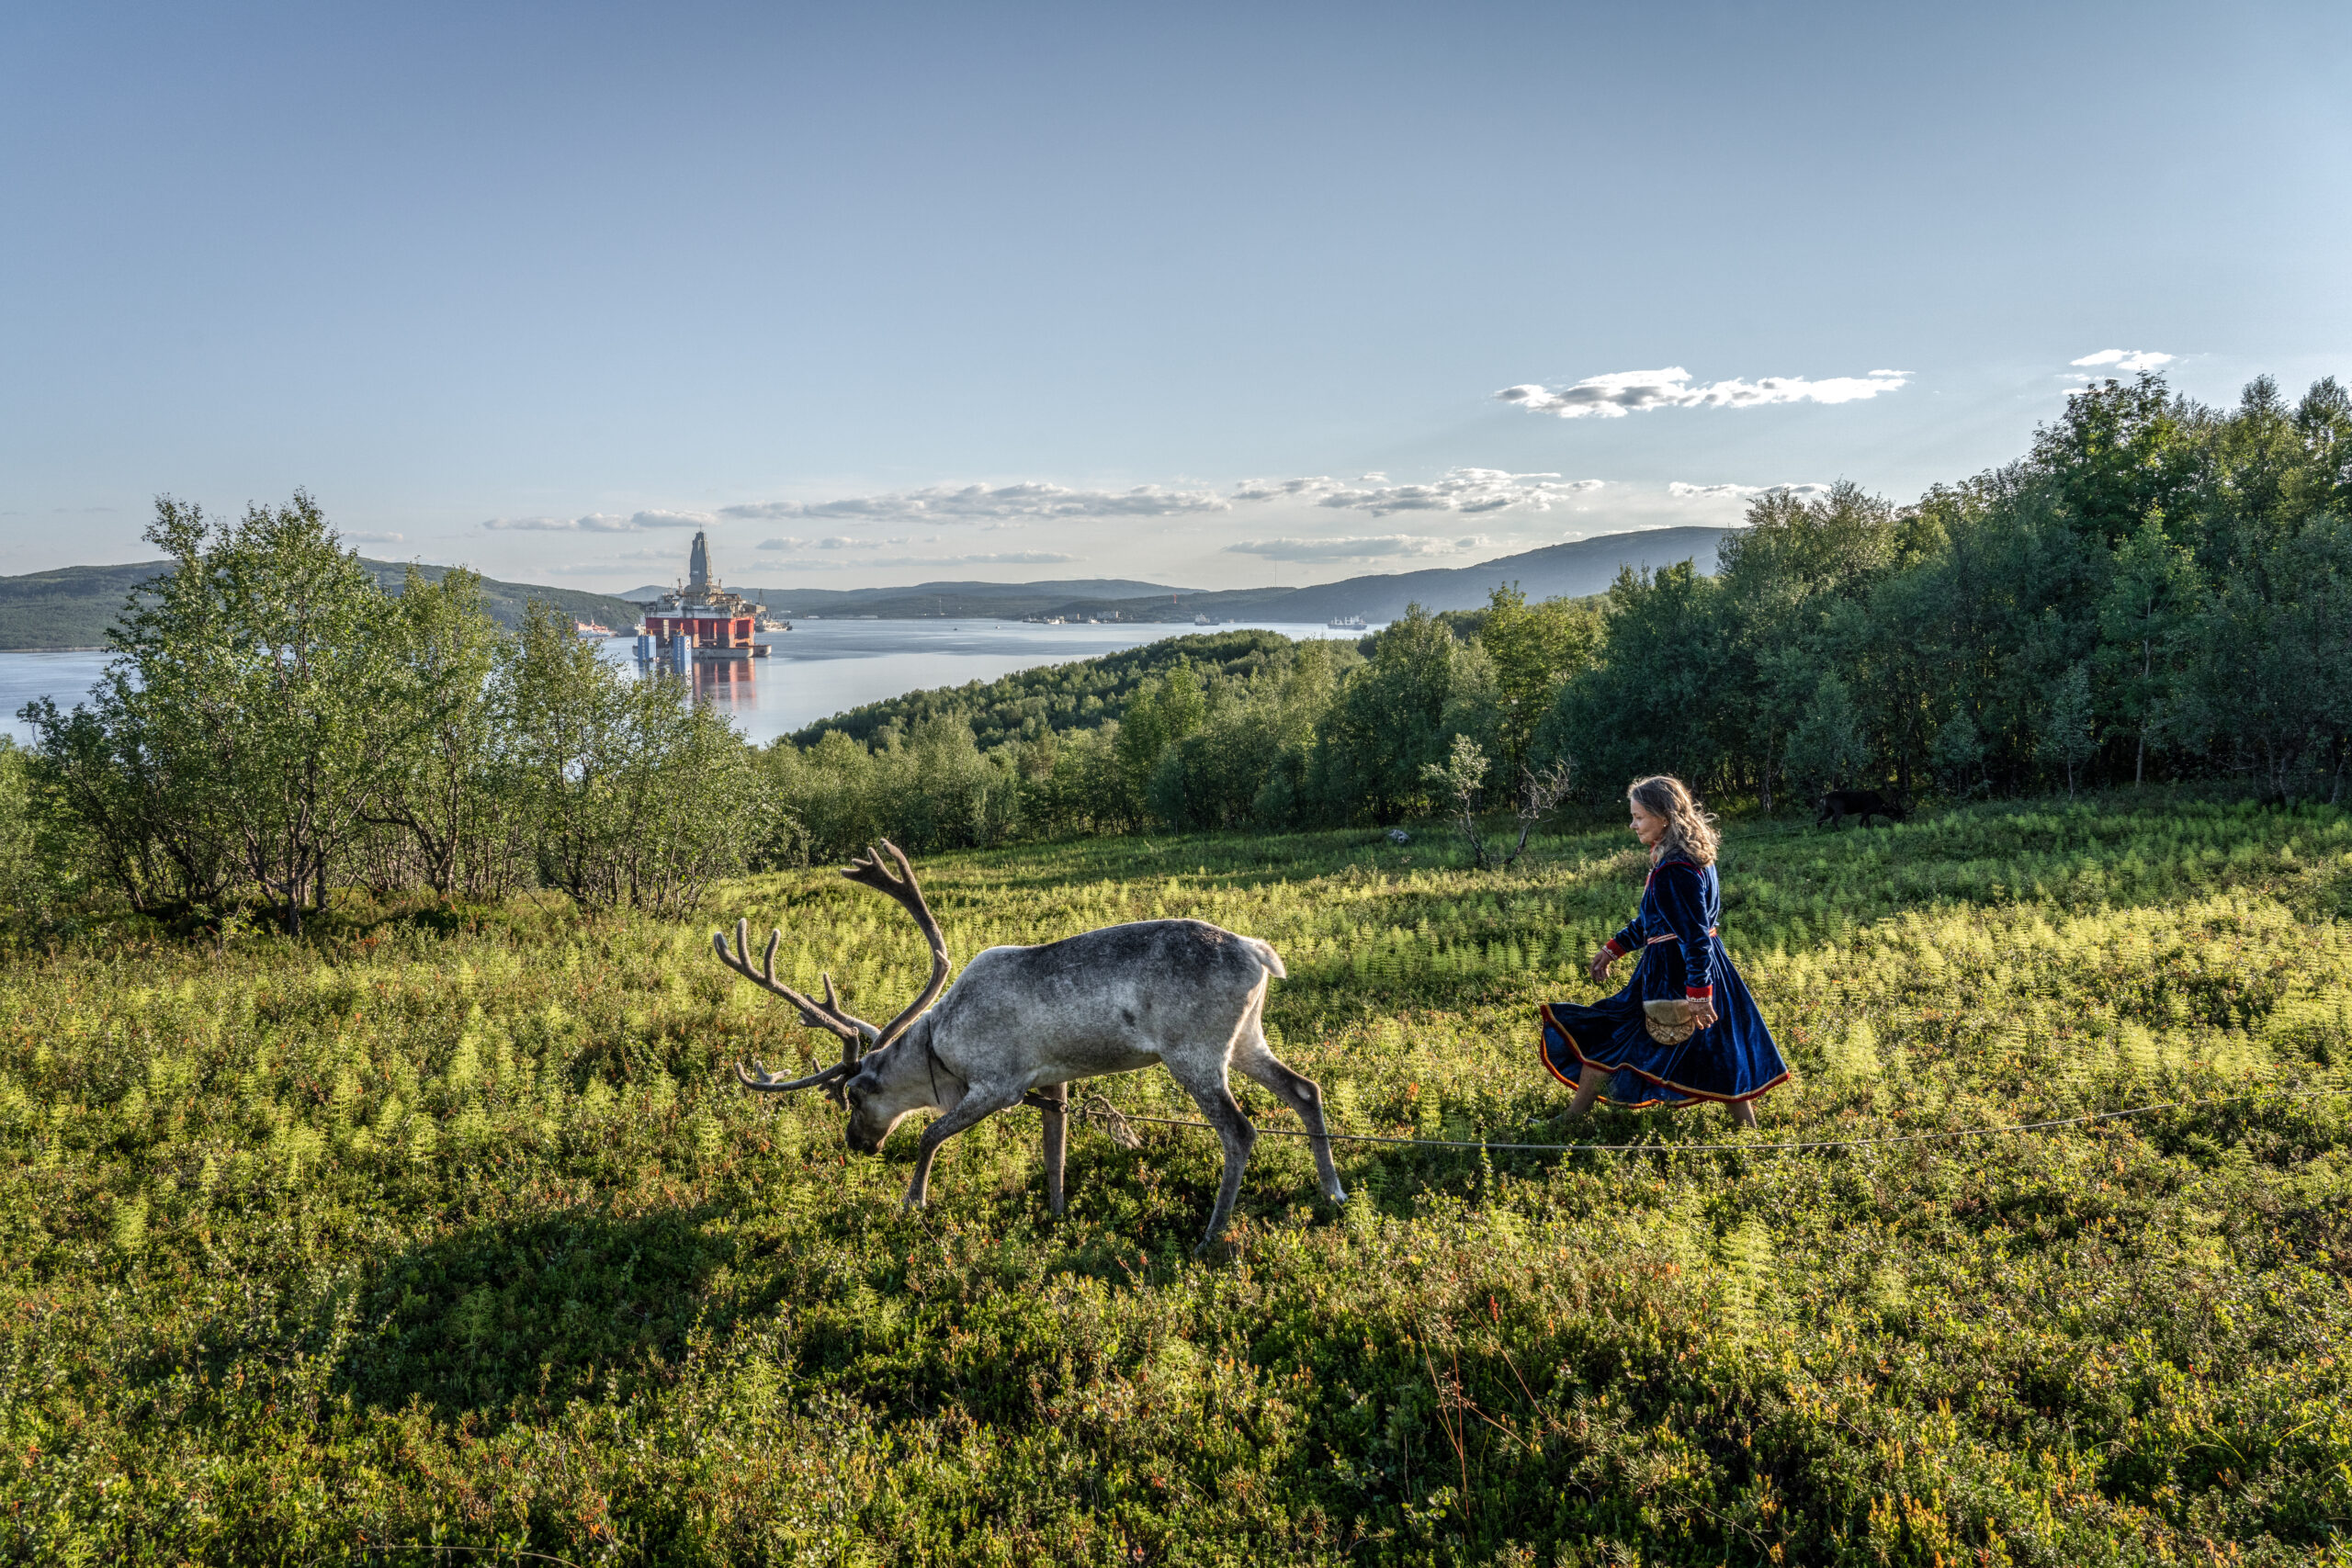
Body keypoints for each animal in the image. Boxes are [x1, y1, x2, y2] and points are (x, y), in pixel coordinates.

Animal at [715, 842, 1346, 1252]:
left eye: (853, 1097)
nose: (855, 1144)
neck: (938, 1048)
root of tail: (1259, 952)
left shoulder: (999, 1084)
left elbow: (929, 1134)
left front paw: (914, 1203)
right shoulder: (1053, 1079)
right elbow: (1054, 1151)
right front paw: (1058, 1215)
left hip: (1193, 1053)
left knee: (1239, 1130)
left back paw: (1210, 1238)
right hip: (1247, 1039)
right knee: (1305, 1089)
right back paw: (1334, 1192)